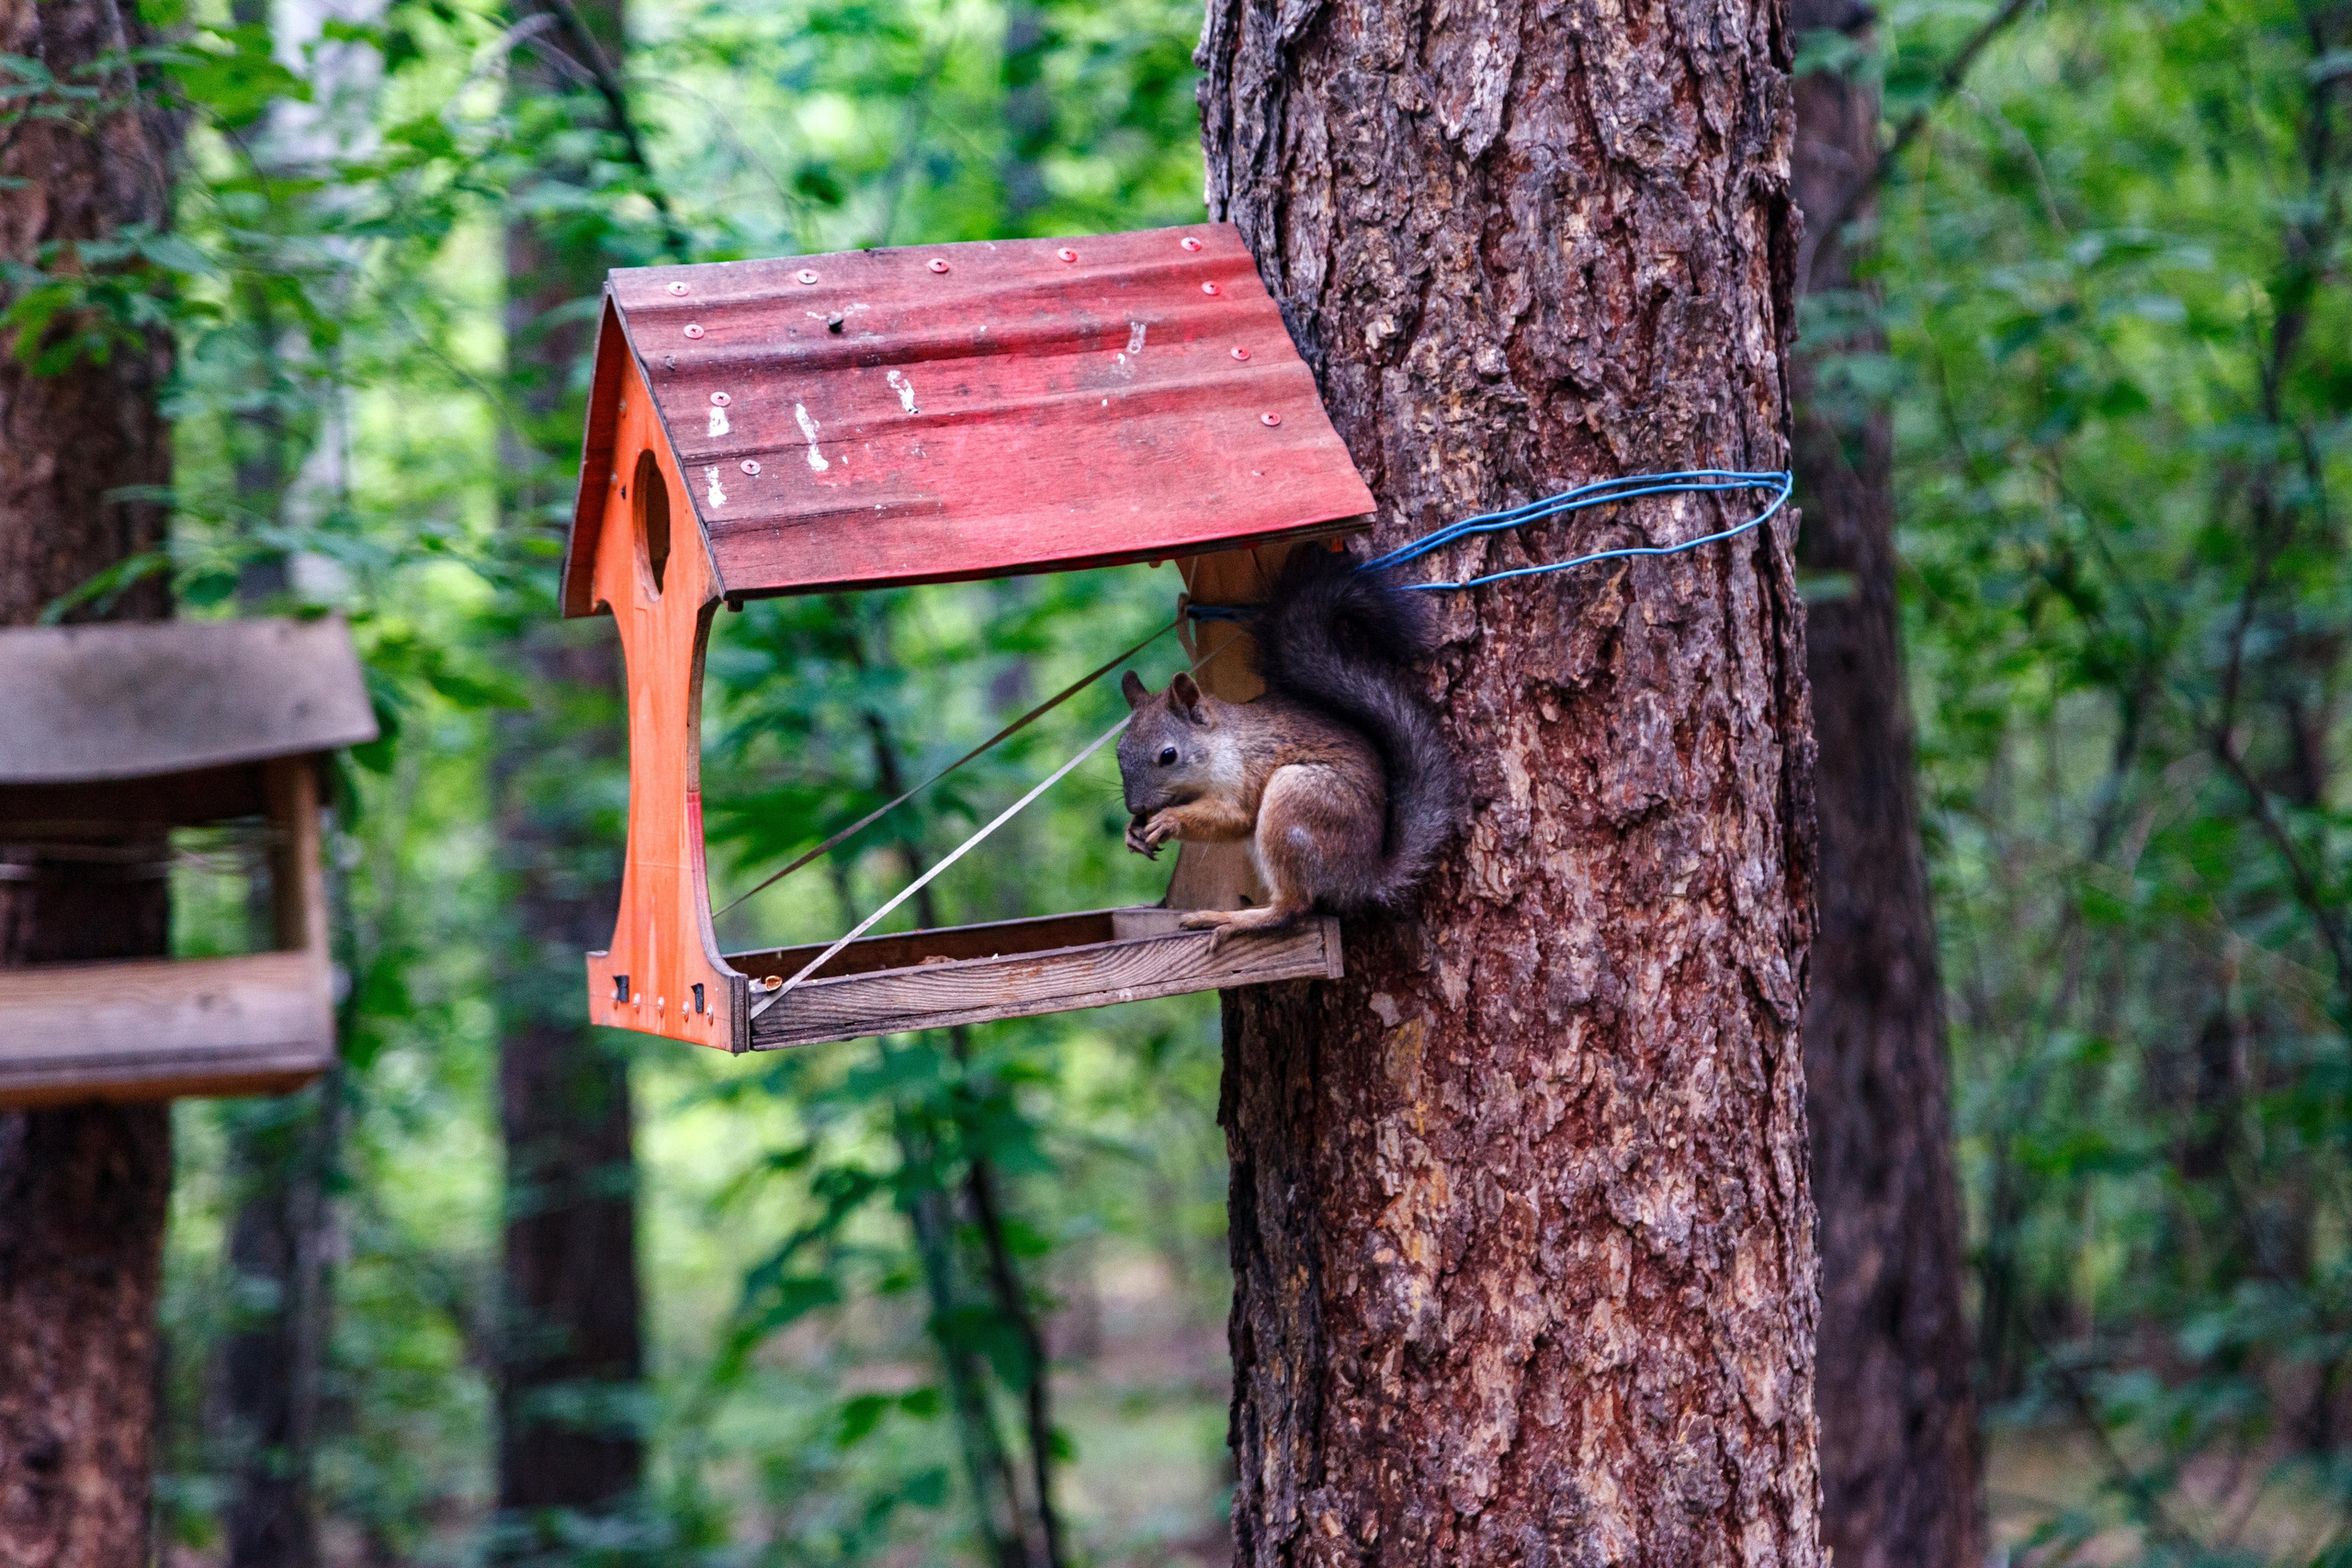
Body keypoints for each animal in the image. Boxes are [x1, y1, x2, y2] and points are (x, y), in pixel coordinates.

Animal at [1116, 547, 1464, 945]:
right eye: (1119, 751)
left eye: (1168, 755)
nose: (1135, 805)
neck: (1219, 746)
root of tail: (1361, 877)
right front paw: (1133, 830)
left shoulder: (1247, 771)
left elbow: (1235, 817)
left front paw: (1169, 820)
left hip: (1297, 803)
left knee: (1293, 907)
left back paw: (1231, 919)